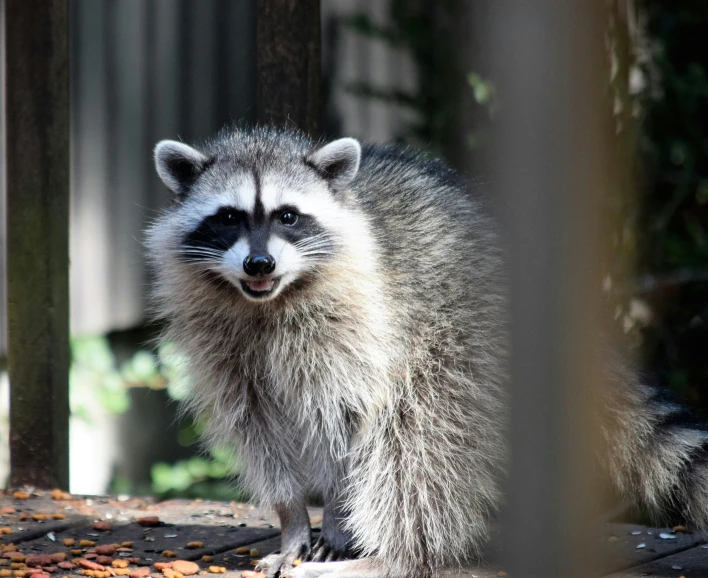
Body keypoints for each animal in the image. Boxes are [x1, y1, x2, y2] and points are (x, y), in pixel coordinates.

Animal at [147, 127, 708, 576]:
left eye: (289, 216)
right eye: (228, 217)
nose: (259, 264)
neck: (267, 301)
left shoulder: (358, 327)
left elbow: (350, 425)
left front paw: (335, 518)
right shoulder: (226, 348)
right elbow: (259, 433)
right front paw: (292, 523)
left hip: (461, 344)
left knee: (417, 444)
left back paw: (391, 557)